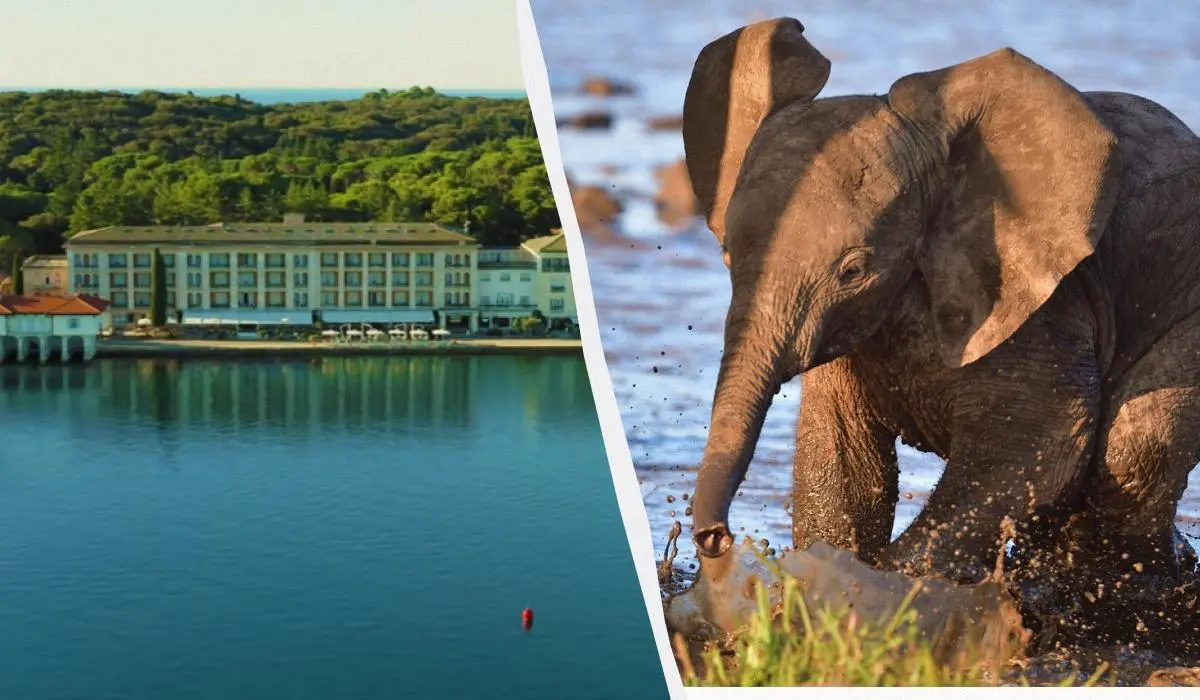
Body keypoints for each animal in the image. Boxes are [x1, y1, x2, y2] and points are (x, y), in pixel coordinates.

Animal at [682, 17, 1200, 585]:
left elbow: (1038, 443)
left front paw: (885, 585)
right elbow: (841, 464)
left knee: (1133, 450)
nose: (715, 539)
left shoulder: (1043, 299)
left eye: (853, 271)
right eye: (727, 254)